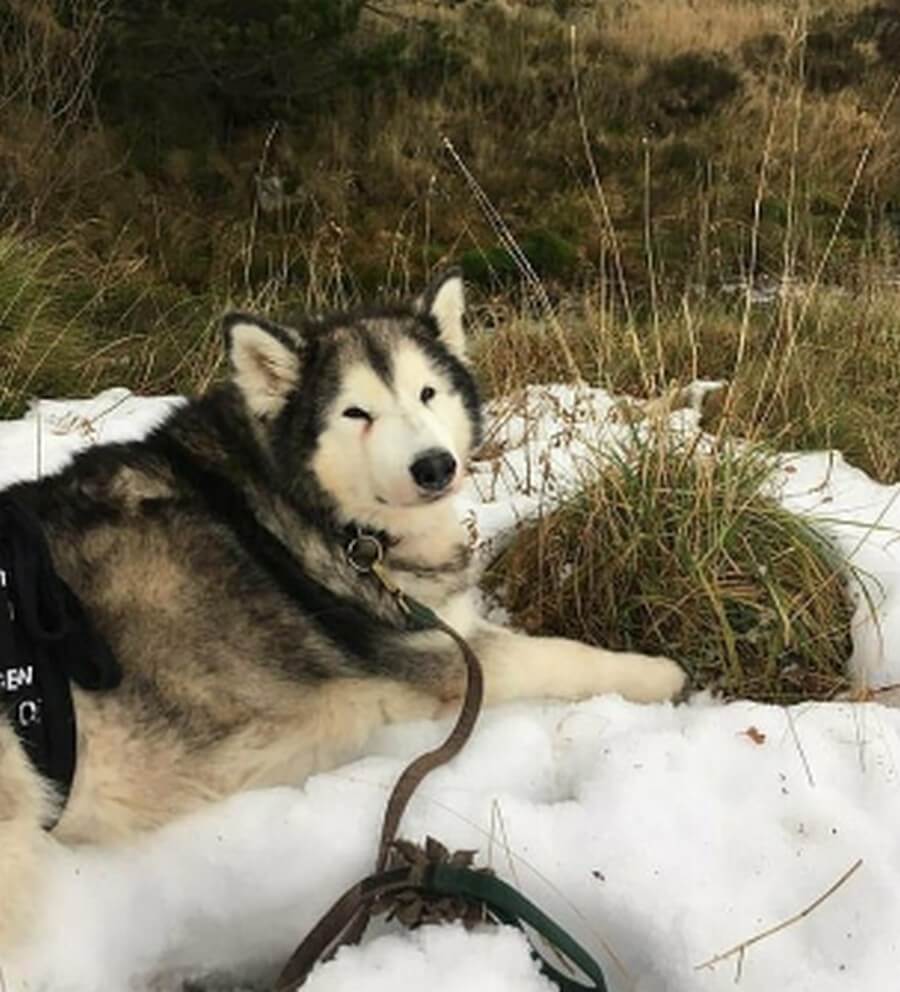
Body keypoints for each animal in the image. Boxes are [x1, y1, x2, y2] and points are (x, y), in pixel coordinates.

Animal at [0, 272, 684, 960]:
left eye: (426, 392)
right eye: (357, 413)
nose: (434, 466)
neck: (325, 517)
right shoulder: (436, 662)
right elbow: (555, 655)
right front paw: (659, 675)